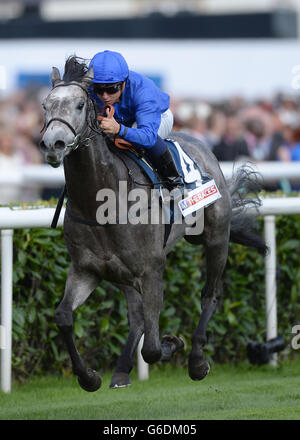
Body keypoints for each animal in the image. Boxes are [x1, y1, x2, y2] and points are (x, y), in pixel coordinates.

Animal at [39, 55, 264, 392]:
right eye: (46, 105)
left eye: (79, 104)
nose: (53, 143)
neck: (100, 199)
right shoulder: (86, 269)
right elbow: (64, 317)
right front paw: (89, 377)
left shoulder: (151, 269)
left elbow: (154, 349)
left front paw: (174, 344)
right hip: (121, 273)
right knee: (136, 314)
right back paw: (121, 371)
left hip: (216, 239)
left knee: (210, 294)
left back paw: (197, 360)